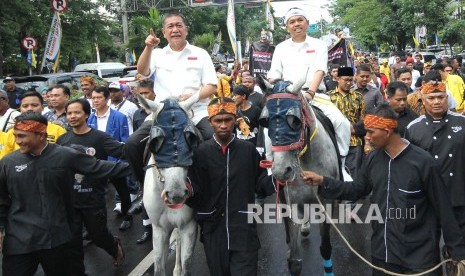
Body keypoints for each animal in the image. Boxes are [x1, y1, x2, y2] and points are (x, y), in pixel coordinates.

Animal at [136, 94, 198, 274]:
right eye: (155, 141)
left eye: (190, 138)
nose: (176, 194)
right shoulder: (159, 229)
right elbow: (158, 267)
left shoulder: (189, 226)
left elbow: (186, 265)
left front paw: (180, 269)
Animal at [260, 80, 338, 276]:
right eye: (264, 121)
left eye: (294, 121)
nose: (281, 171)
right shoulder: (291, 201)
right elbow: (294, 261)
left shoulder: (327, 201)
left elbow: (326, 246)